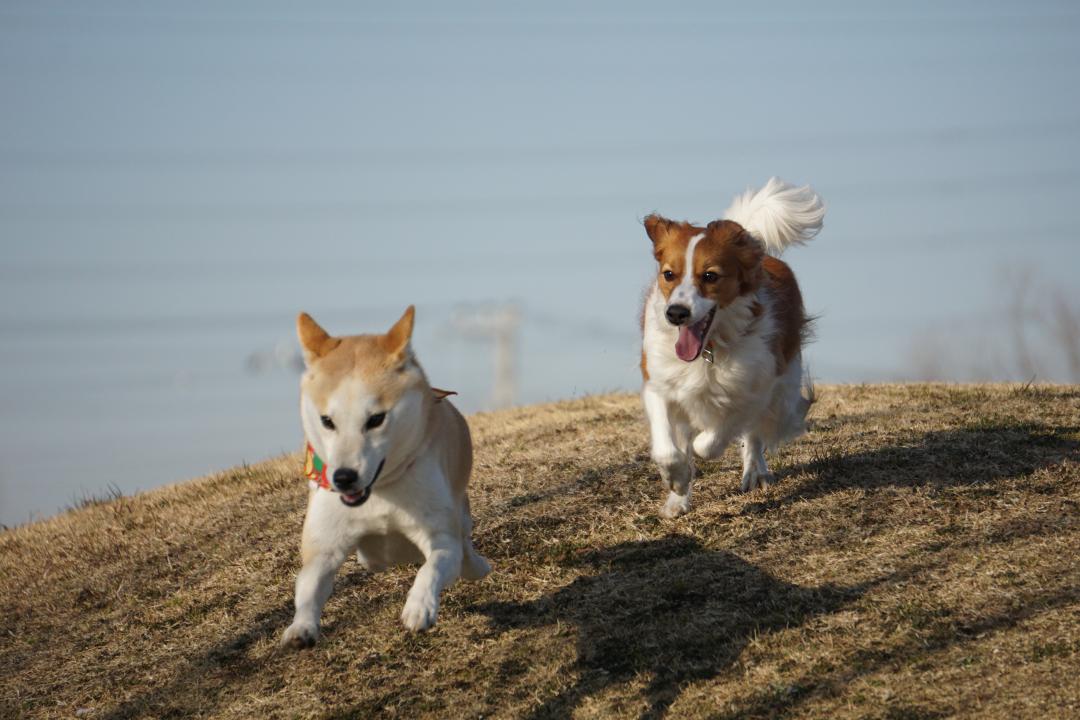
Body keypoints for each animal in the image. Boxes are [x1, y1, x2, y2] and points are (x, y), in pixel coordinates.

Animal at [282, 304, 494, 647]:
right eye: (327, 421)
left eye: (375, 419)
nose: (343, 477)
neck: (380, 491)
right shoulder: (325, 545)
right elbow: (309, 586)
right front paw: (301, 628)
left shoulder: (441, 535)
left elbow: (433, 567)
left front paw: (419, 607)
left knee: (464, 546)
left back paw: (475, 565)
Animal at [635, 179, 820, 518]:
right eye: (669, 274)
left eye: (710, 276)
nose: (676, 313)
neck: (708, 349)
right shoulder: (658, 384)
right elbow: (668, 447)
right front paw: (677, 482)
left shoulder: (752, 390)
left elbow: (710, 441)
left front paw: (700, 456)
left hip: (782, 393)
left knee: (754, 434)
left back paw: (755, 472)